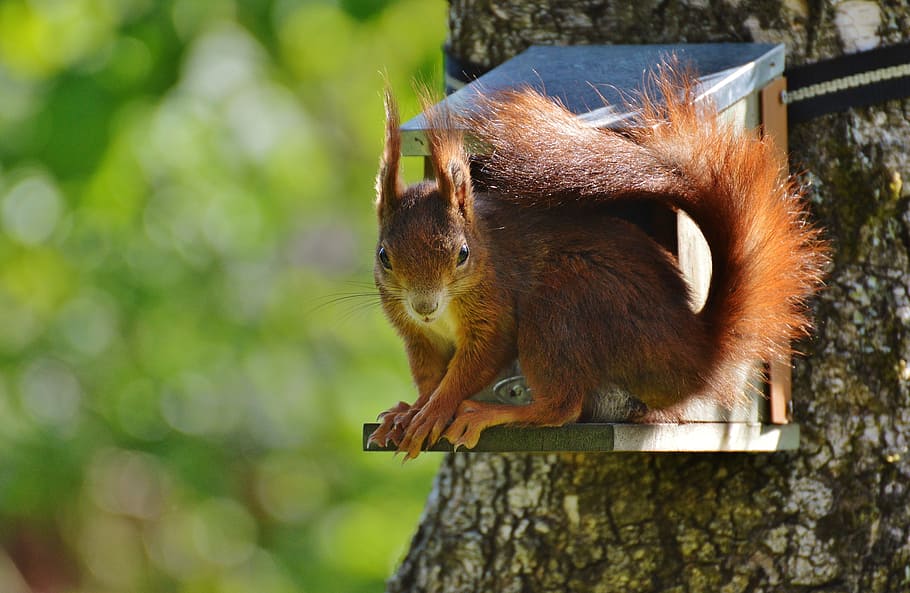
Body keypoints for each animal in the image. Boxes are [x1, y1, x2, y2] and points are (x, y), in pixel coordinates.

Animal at [367, 71, 829, 459]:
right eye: (384, 256)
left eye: (462, 254)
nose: (424, 306)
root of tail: (695, 356)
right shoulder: (418, 337)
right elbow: (430, 376)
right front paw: (411, 410)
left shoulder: (495, 307)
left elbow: (478, 361)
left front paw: (436, 409)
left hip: (564, 302)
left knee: (562, 406)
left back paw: (492, 412)